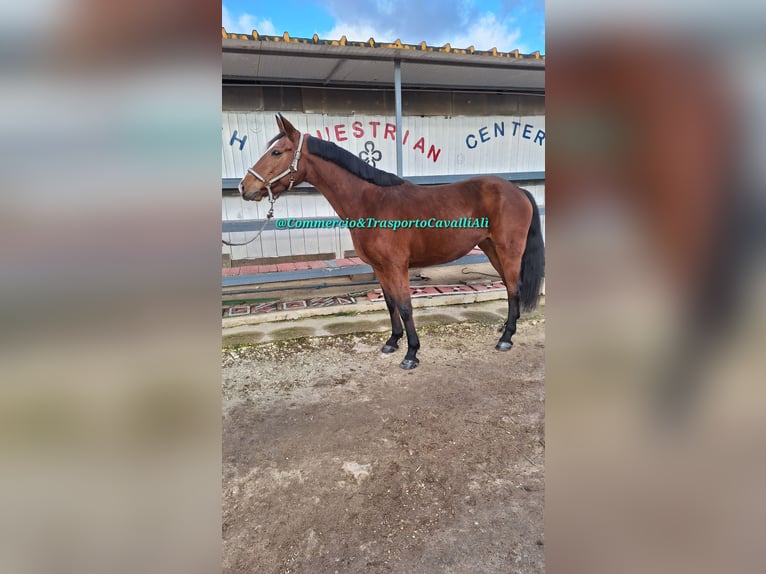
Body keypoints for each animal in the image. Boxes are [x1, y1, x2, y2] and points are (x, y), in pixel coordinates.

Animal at [240, 115, 544, 372]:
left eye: (277, 152)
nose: (245, 187)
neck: (371, 202)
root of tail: (517, 190)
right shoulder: (379, 267)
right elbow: (390, 303)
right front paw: (392, 342)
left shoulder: (397, 266)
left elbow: (406, 306)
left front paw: (411, 354)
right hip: (491, 249)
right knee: (510, 287)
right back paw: (506, 330)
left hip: (508, 251)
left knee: (513, 288)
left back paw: (506, 338)